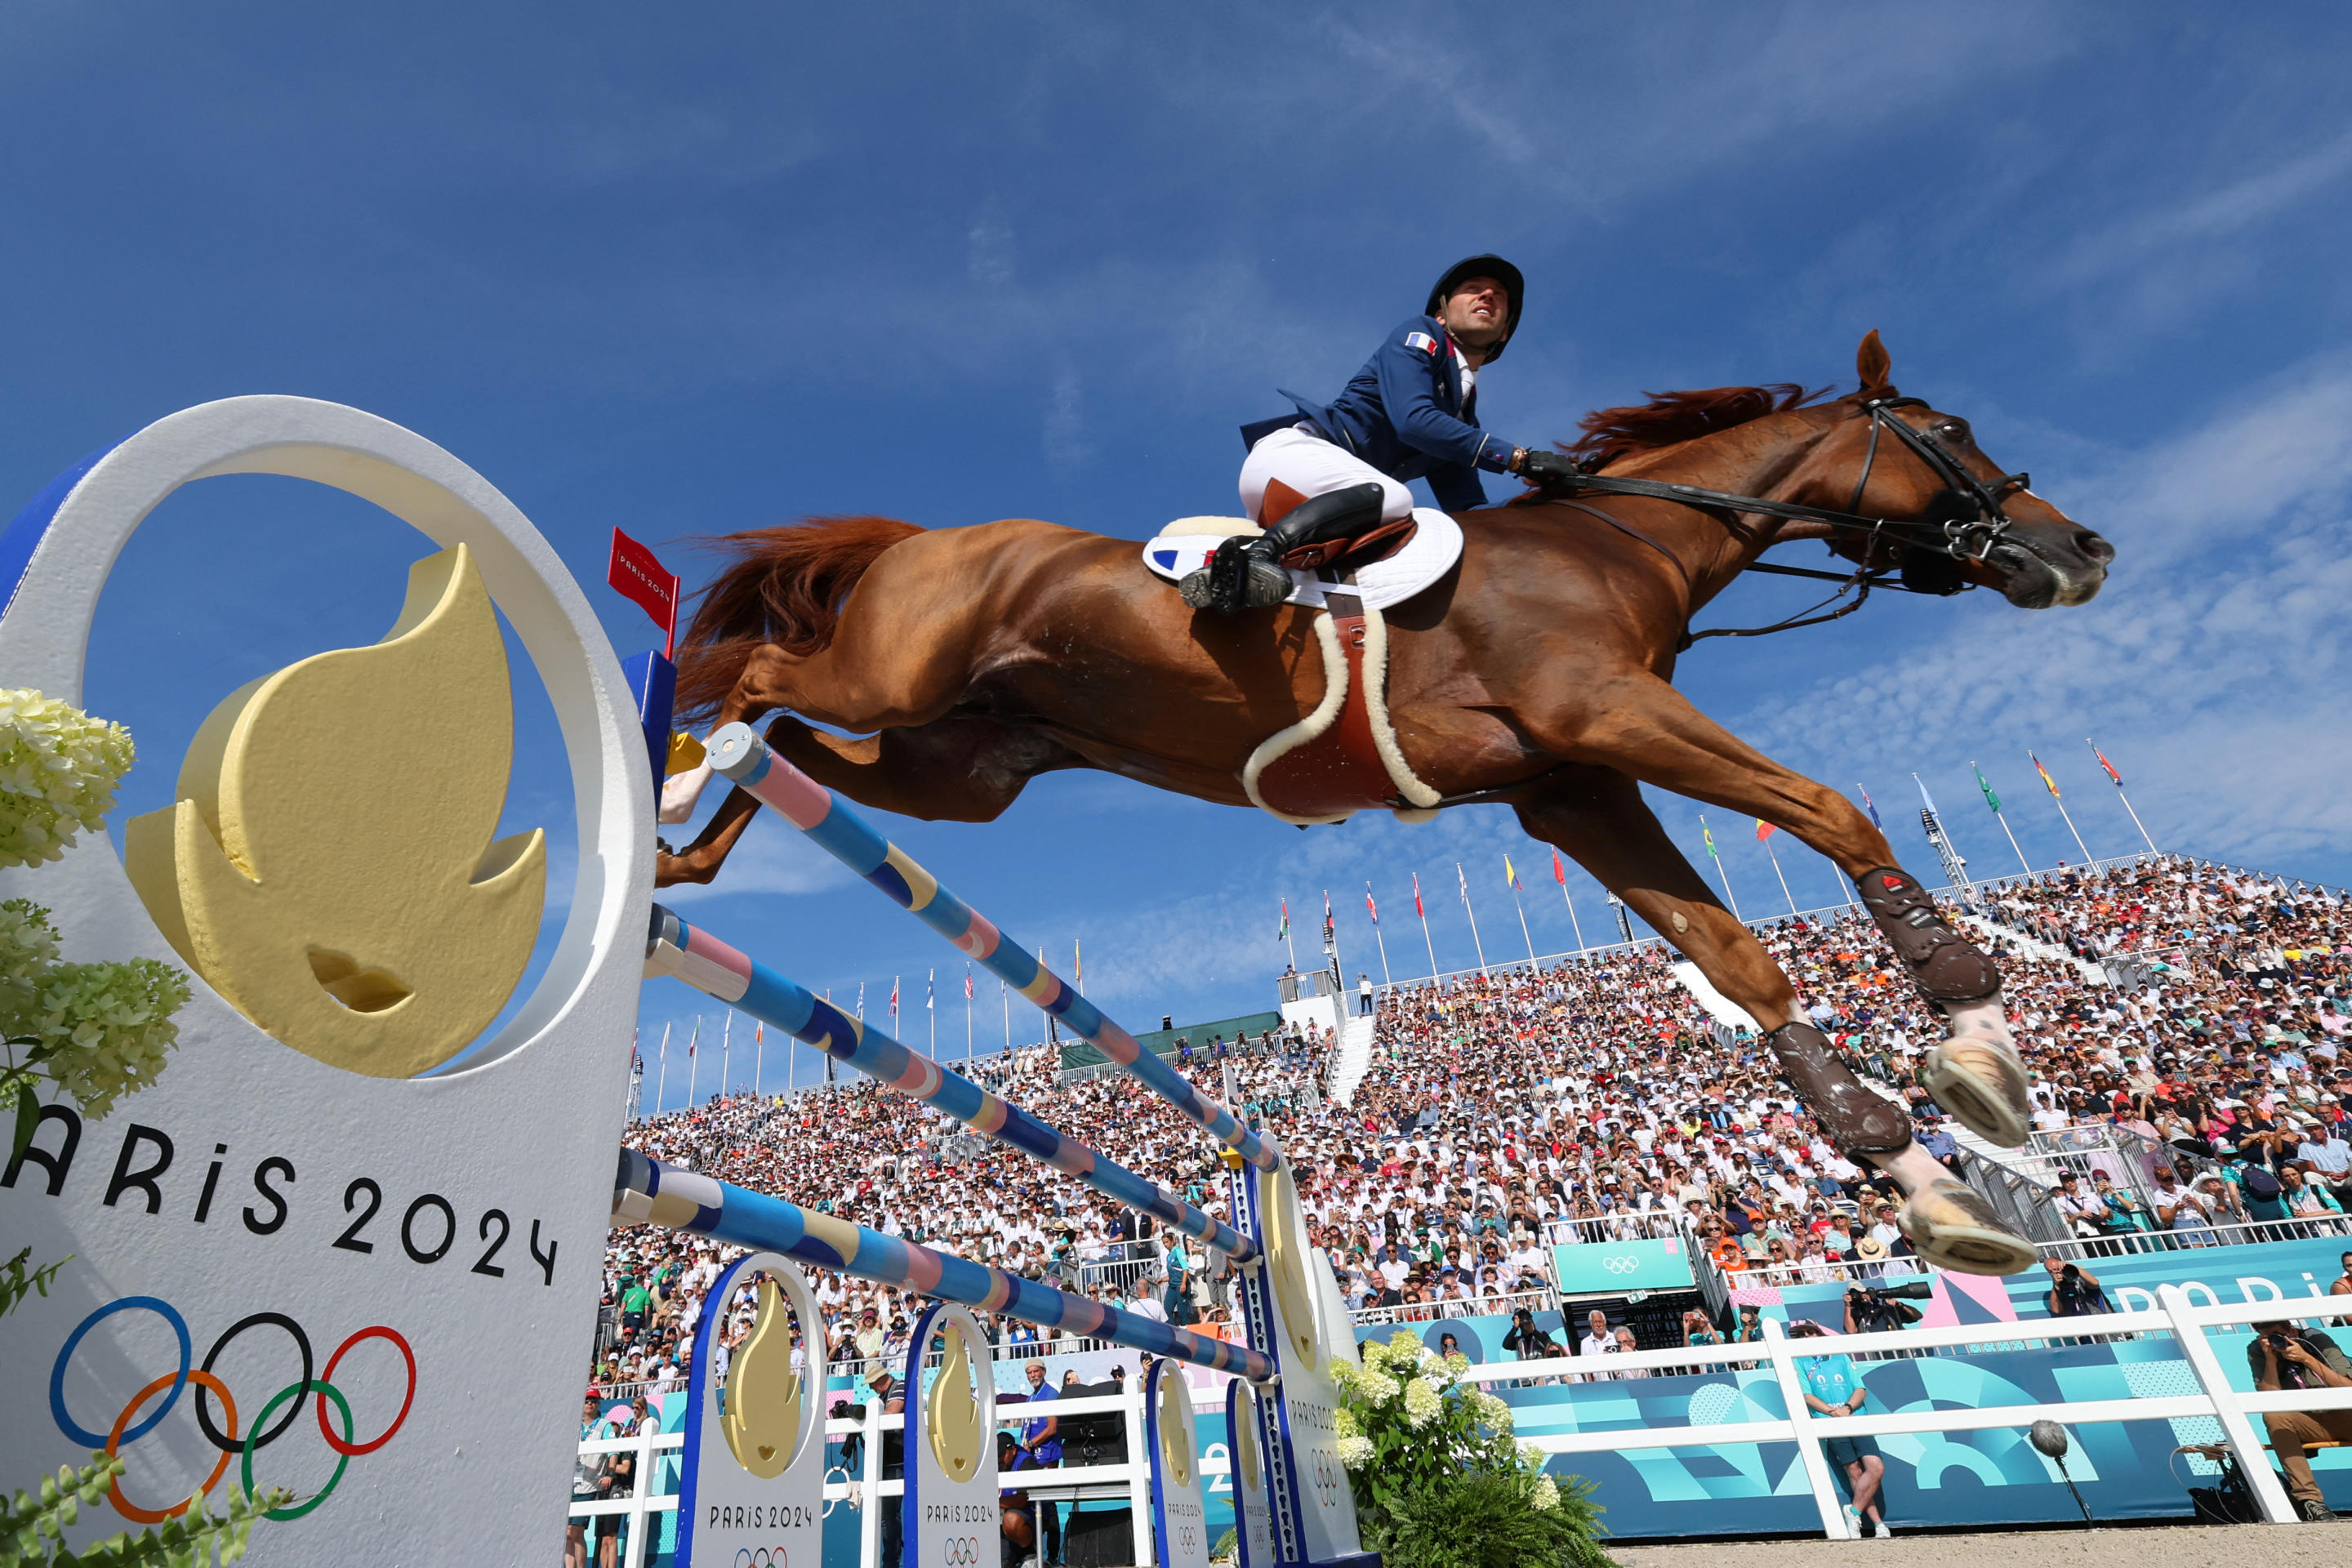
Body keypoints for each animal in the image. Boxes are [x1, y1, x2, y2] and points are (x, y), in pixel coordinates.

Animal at [658, 333, 2117, 1278]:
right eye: (1948, 434)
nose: (2083, 548)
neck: (1625, 542)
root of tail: (927, 540)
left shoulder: (1574, 785)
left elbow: (1732, 952)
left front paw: (1920, 1161)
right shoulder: (1609, 719)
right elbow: (1832, 813)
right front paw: (1971, 1024)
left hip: (964, 771)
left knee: (794, 741)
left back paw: (690, 855)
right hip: (895, 673)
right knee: (768, 676)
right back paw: (674, 762)